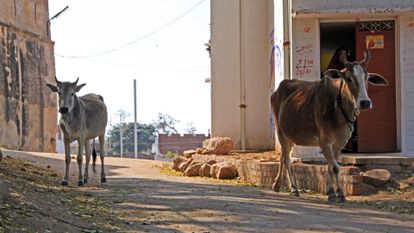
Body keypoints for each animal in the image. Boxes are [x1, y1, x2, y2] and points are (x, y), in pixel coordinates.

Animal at [272, 49, 388, 202]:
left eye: (367, 77)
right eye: (348, 78)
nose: (365, 102)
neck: (339, 108)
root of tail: (277, 90)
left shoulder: (339, 143)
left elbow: (330, 166)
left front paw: (331, 192)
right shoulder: (324, 141)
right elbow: (335, 168)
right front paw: (340, 193)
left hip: (289, 137)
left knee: (282, 156)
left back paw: (277, 185)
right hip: (280, 132)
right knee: (286, 160)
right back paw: (294, 189)